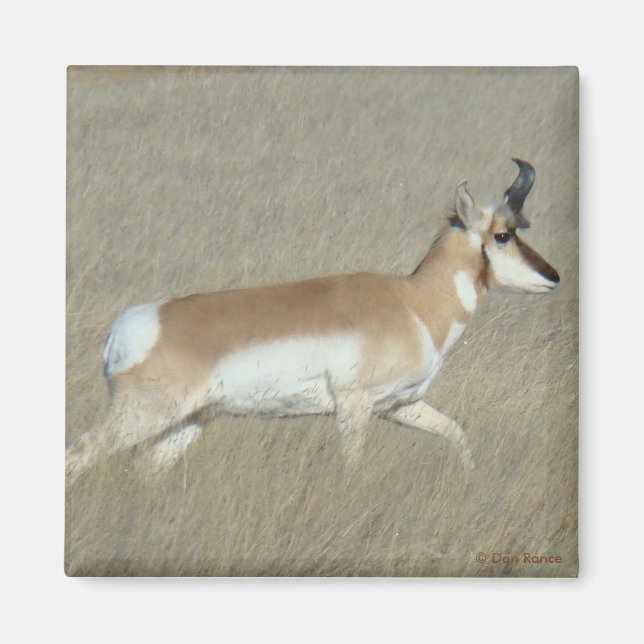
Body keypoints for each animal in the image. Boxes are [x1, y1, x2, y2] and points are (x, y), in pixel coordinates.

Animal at [66, 159, 559, 484]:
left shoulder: (400, 406)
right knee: (78, 456)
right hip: (144, 416)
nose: (553, 277)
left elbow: (457, 434)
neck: (412, 302)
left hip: (188, 422)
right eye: (502, 235)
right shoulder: (353, 408)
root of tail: (130, 327)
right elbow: (353, 469)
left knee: (146, 469)